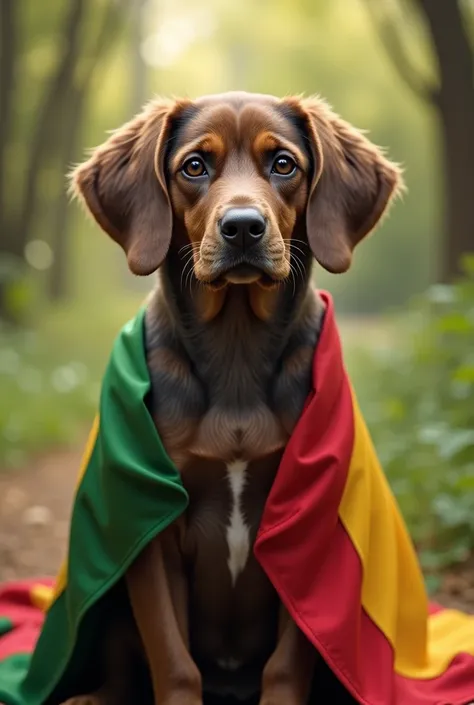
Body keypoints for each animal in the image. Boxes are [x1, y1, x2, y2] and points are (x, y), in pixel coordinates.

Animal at [63, 89, 402, 704]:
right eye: (195, 166)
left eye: (284, 163)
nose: (243, 227)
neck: (237, 351)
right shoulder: (152, 524)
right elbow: (173, 660)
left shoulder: (305, 528)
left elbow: (287, 664)